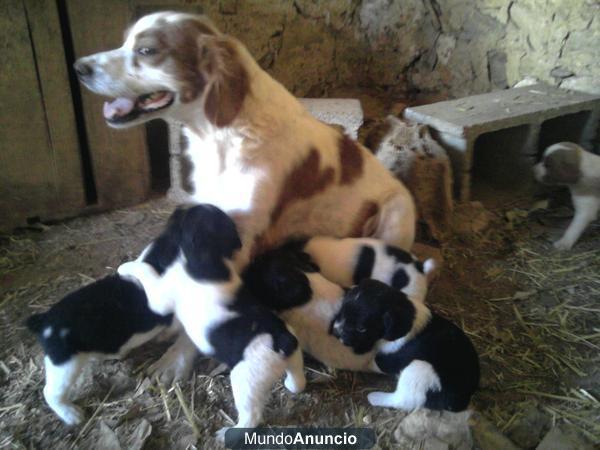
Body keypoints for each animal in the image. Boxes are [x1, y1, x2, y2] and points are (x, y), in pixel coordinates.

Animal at [72, 9, 414, 268]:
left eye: (146, 50)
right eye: (124, 42)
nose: (78, 67)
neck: (224, 134)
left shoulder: (242, 229)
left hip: (397, 213)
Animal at [118, 205, 304, 436]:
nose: (177, 208)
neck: (209, 257)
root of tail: (281, 340)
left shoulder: (161, 296)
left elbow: (147, 274)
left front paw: (127, 267)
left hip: (247, 381)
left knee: (251, 417)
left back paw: (227, 433)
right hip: (294, 355)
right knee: (298, 381)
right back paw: (291, 384)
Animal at [330, 280, 480, 414]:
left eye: (361, 328)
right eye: (341, 312)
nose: (335, 331)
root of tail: (461, 400)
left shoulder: (389, 361)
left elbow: (375, 360)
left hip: (419, 369)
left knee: (404, 400)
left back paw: (375, 397)